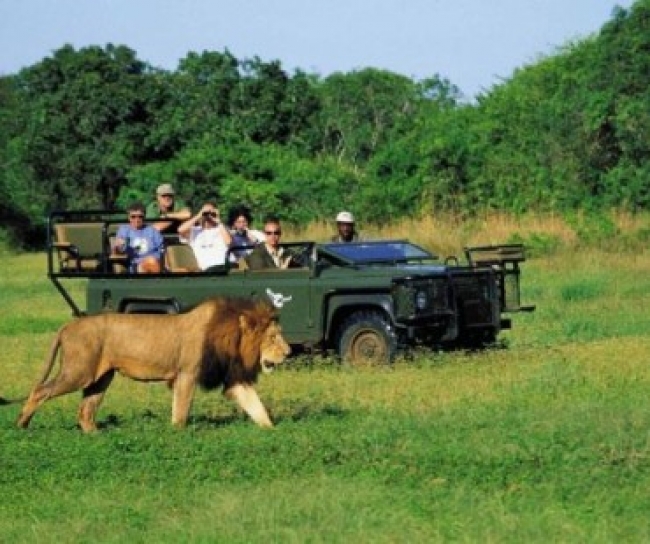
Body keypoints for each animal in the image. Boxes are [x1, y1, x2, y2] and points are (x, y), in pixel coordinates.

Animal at [15, 296, 288, 432]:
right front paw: (178, 433)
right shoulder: (187, 374)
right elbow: (181, 409)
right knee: (40, 391)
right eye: (273, 337)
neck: (228, 337)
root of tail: (67, 325)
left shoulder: (233, 378)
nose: (289, 352)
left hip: (100, 378)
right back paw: (22, 426)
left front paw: (272, 431)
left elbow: (256, 405)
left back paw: (97, 435)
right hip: (79, 372)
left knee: (85, 410)